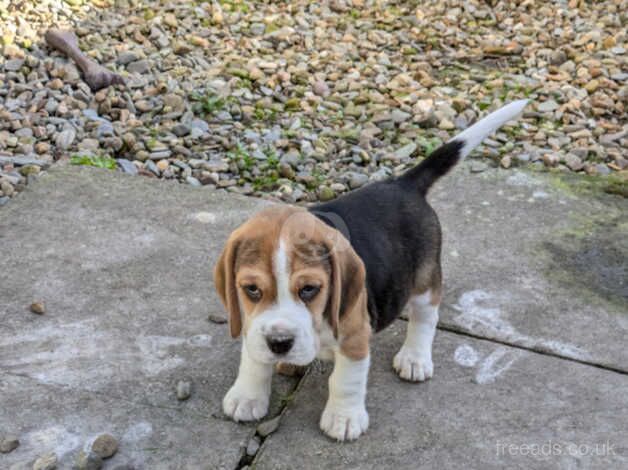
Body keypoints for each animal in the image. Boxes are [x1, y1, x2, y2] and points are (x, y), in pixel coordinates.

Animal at [213, 100, 528, 440]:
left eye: (309, 289)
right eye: (251, 289)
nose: (280, 343)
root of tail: (403, 184)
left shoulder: (354, 336)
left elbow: (345, 380)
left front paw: (343, 418)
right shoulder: (251, 323)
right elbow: (253, 359)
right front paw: (247, 396)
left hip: (424, 279)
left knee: (425, 316)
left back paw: (414, 358)